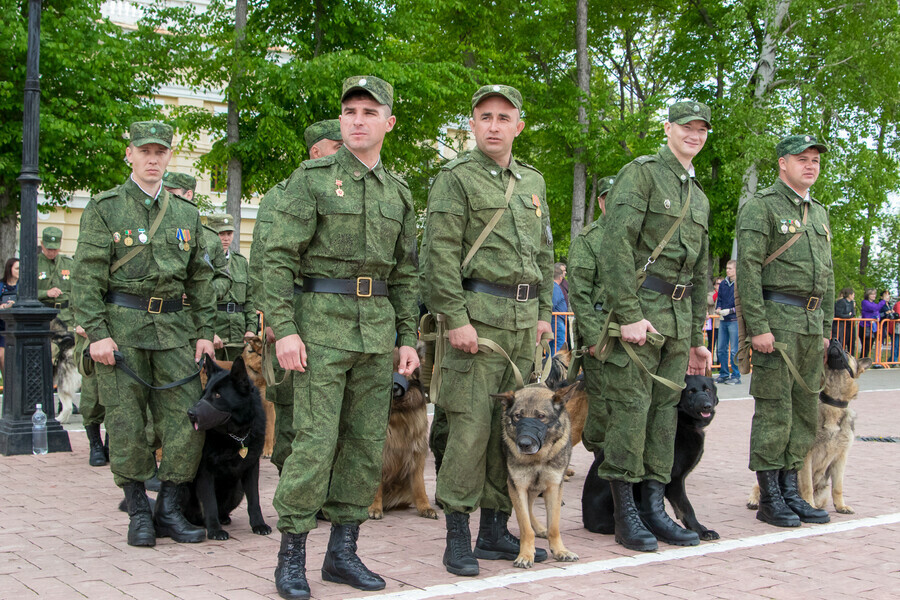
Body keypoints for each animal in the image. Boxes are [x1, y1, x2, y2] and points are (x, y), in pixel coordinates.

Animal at [181, 354, 268, 540]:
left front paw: (258, 524)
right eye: (204, 393)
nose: (190, 413)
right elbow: (209, 503)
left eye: (218, 395)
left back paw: (224, 518)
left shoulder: (251, 468)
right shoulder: (205, 472)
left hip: (237, 490)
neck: (236, 435)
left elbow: (254, 500)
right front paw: (215, 530)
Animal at [366, 346, 436, 520]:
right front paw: (374, 507)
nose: (395, 388)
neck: (397, 411)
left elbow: (419, 485)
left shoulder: (417, 452)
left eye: (402, 368)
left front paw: (425, 507)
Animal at [496, 384, 580, 568]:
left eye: (541, 416)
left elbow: (554, 525)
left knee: (530, 506)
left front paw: (560, 551)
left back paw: (541, 529)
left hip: (536, 487)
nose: (524, 444)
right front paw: (526, 555)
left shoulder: (554, 486)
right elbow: (525, 526)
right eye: (518, 416)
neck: (538, 458)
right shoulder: (517, 486)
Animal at [580, 376, 720, 540]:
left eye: (707, 390)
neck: (682, 421)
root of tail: (587, 522)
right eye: (690, 392)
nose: (707, 406)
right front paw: (700, 530)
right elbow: (686, 507)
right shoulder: (674, 479)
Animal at [748, 344, 868, 512]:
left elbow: (838, 487)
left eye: (847, 352)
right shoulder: (806, 456)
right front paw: (808, 504)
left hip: (823, 493)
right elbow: (807, 485)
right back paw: (755, 500)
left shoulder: (841, 458)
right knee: (759, 484)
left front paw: (841, 506)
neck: (833, 403)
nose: (833, 341)